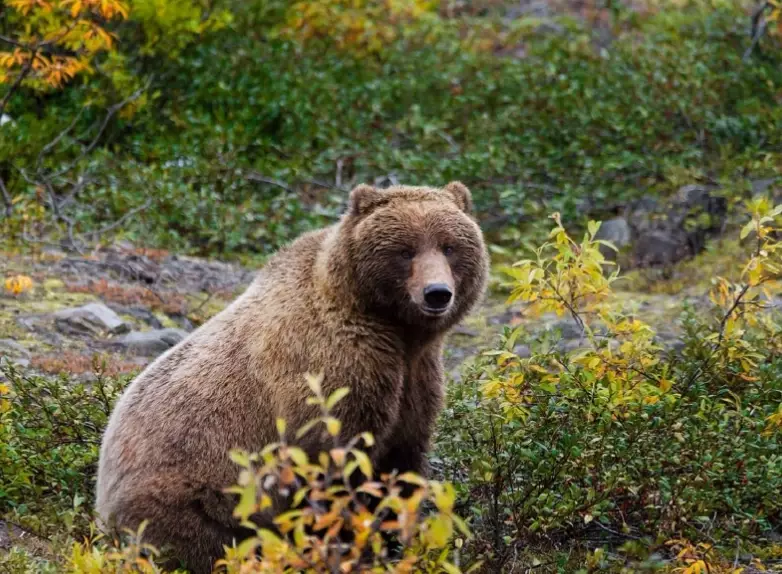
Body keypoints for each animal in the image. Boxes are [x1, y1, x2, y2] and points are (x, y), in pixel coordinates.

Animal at [94, 181, 489, 574]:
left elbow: (402, 465)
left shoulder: (415, 380)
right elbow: (334, 468)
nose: (437, 293)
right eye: (405, 250)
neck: (393, 330)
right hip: (194, 493)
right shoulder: (332, 372)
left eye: (449, 246)